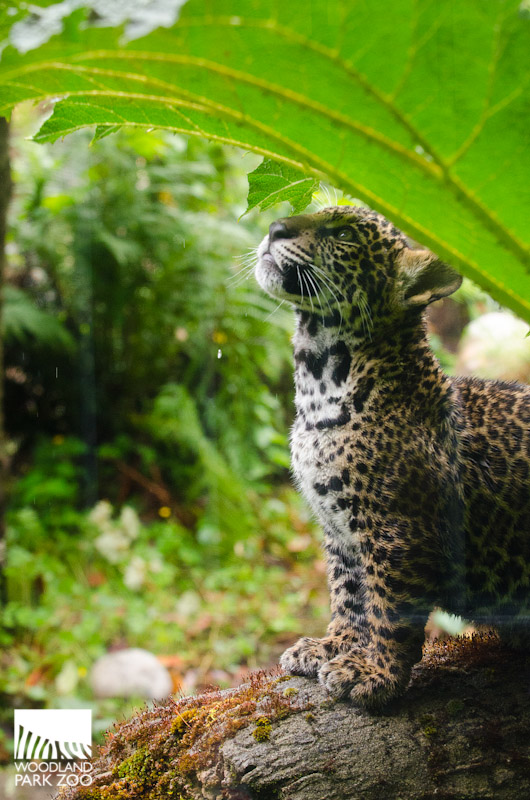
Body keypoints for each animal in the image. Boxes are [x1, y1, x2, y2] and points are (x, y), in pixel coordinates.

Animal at [254, 205, 530, 709]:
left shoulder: (396, 531)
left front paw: (376, 674)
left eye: (343, 234)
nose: (275, 228)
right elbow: (348, 594)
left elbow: (388, 608)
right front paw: (332, 645)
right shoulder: (339, 531)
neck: (320, 383)